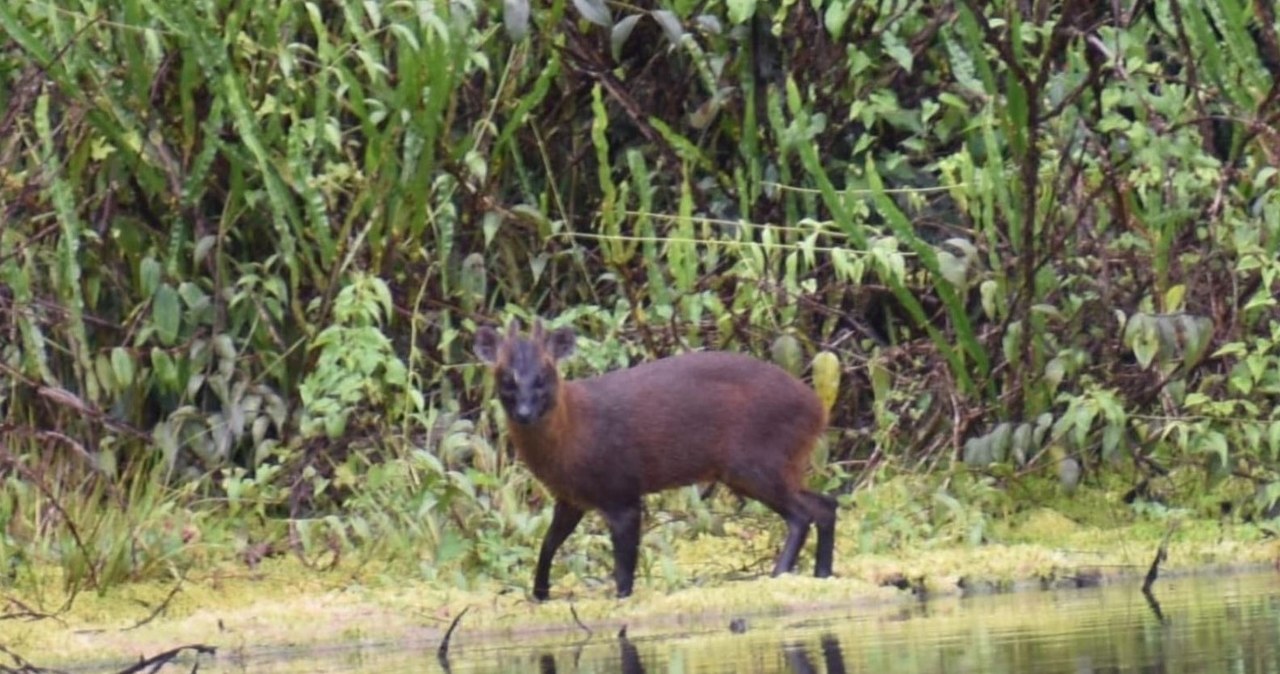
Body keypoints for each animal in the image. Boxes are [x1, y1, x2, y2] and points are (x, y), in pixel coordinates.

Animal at [476, 322, 834, 601]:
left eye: (543, 376)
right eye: (506, 379)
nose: (524, 413)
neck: (572, 438)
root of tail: (818, 410)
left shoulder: (620, 489)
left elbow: (624, 569)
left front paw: (619, 598)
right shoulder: (571, 497)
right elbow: (548, 544)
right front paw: (539, 595)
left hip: (756, 462)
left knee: (803, 513)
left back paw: (780, 574)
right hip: (775, 465)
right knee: (825, 503)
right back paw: (822, 573)